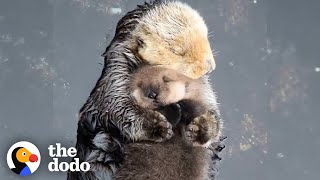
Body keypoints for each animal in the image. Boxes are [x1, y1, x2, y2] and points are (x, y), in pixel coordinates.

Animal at [67, 0, 222, 179]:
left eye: (206, 36)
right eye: (177, 51)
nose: (209, 66)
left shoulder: (201, 86)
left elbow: (212, 111)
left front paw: (200, 128)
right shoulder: (117, 72)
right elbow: (117, 107)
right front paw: (158, 126)